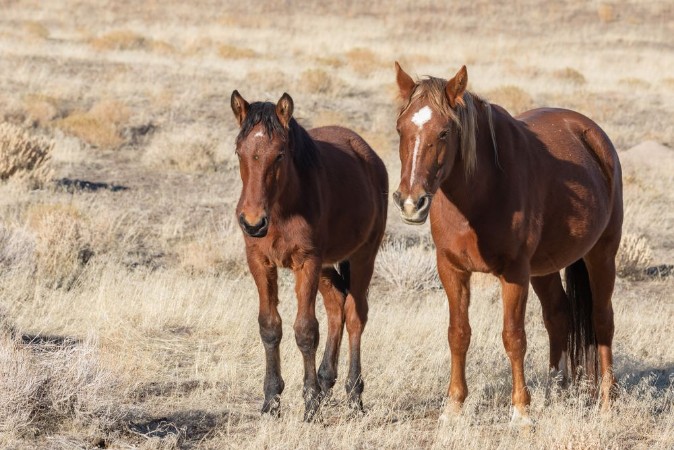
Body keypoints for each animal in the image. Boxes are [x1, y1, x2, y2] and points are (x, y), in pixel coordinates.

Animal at [230, 91, 388, 421]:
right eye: (239, 151)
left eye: (280, 154)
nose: (252, 222)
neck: (282, 209)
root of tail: (369, 156)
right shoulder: (260, 263)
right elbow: (269, 327)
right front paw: (271, 400)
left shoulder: (307, 263)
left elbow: (305, 331)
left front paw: (310, 404)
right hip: (327, 266)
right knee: (337, 305)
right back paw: (327, 382)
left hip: (362, 257)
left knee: (356, 316)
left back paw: (354, 396)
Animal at [391, 62, 623, 425]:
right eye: (401, 129)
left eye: (444, 132)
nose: (411, 202)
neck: (479, 195)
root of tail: (591, 134)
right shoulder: (451, 270)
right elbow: (458, 334)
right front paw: (453, 407)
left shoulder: (514, 273)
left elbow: (513, 337)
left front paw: (521, 410)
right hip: (545, 267)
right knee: (558, 316)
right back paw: (556, 391)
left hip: (602, 255)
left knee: (602, 320)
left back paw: (606, 402)